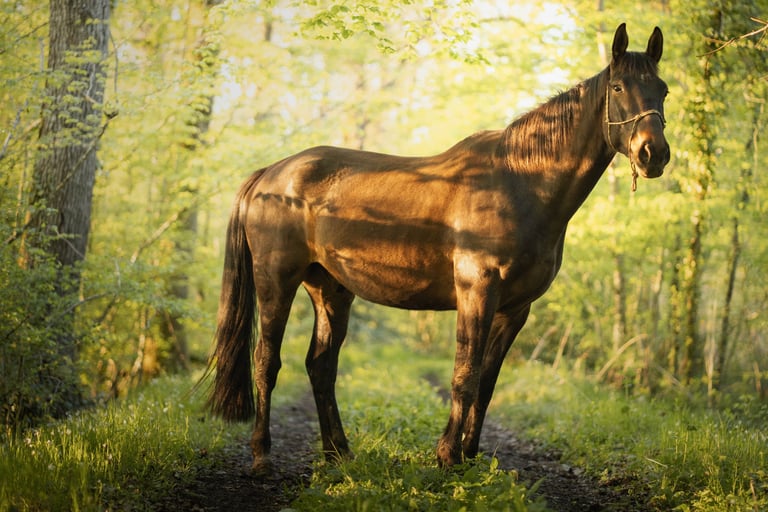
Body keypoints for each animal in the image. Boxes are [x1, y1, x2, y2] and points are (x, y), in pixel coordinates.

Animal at [207, 23, 670, 473]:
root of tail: (272, 173)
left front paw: (470, 457)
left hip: (330, 289)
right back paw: (262, 456)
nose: (654, 153)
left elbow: (486, 383)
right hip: (276, 282)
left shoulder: (516, 308)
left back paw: (339, 453)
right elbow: (464, 376)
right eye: (618, 88)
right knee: (266, 362)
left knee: (321, 367)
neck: (519, 182)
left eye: (663, 90)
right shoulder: (477, 290)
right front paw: (447, 455)